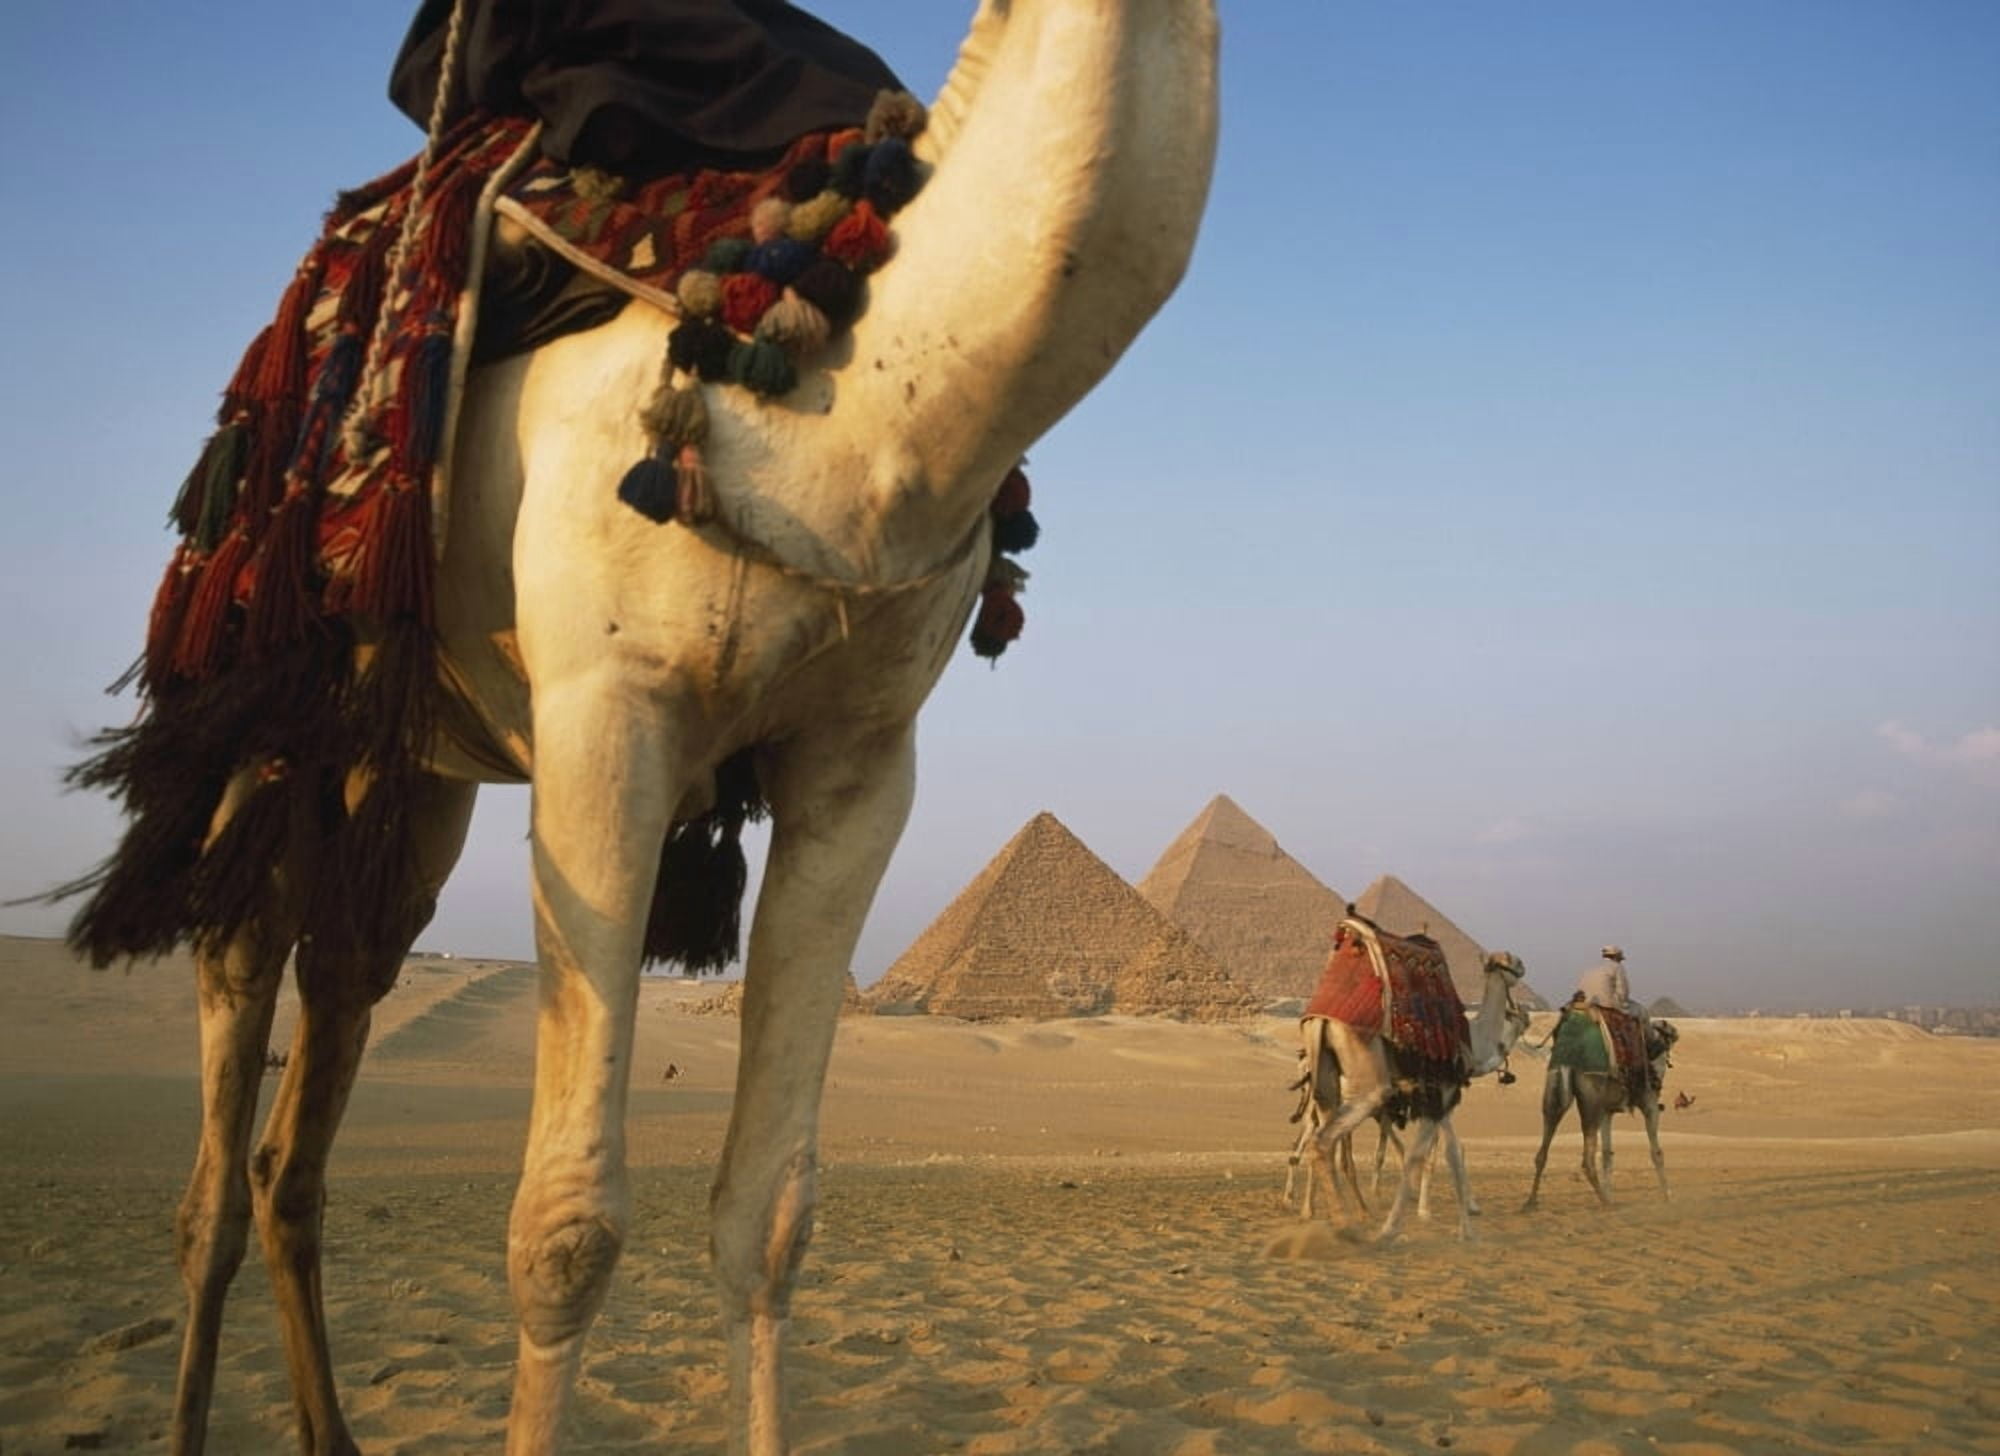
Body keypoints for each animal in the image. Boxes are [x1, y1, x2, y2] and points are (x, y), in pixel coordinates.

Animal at [70, 4, 1219, 1452]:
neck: (854, 394)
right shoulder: (603, 721)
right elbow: (564, 1233)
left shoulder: (862, 762)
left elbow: (771, 1216)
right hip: (268, 722)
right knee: (218, 1127)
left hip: (408, 788)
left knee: (312, 1088)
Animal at [1298, 946, 1530, 1242]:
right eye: (1511, 961)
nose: (1523, 967)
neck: (1473, 1043)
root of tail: (1321, 1020)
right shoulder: (1440, 1096)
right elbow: (1423, 1155)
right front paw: (1392, 1229)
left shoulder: (1440, 1103)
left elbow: (1451, 1152)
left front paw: (1463, 1227)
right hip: (1368, 1086)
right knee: (1322, 1142)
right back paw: (1344, 1224)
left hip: (1327, 1085)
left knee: (1325, 1145)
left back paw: (1332, 1215)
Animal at [1522, 1013, 1680, 1211]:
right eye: (1667, 1033)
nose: (1676, 1033)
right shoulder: (1649, 1103)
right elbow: (1656, 1152)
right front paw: (1668, 1197)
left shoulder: (1607, 1111)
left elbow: (1607, 1155)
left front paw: (1610, 1192)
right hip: (1591, 1103)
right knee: (1587, 1160)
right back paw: (1606, 1201)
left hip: (1554, 1092)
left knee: (1543, 1150)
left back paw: (1530, 1202)